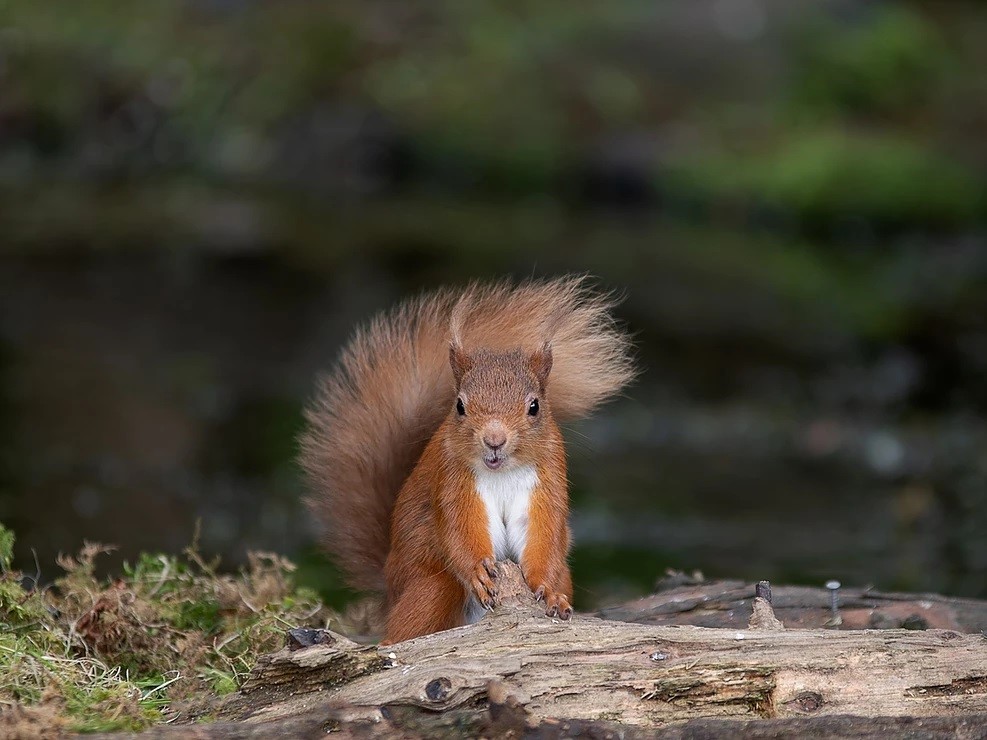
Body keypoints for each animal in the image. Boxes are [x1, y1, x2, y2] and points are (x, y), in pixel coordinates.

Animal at [302, 274, 636, 644]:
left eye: (534, 406)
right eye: (460, 405)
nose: (494, 440)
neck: (502, 472)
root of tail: (390, 589)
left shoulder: (546, 480)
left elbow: (543, 535)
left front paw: (549, 592)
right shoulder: (453, 481)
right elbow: (459, 530)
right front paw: (478, 572)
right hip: (431, 589)